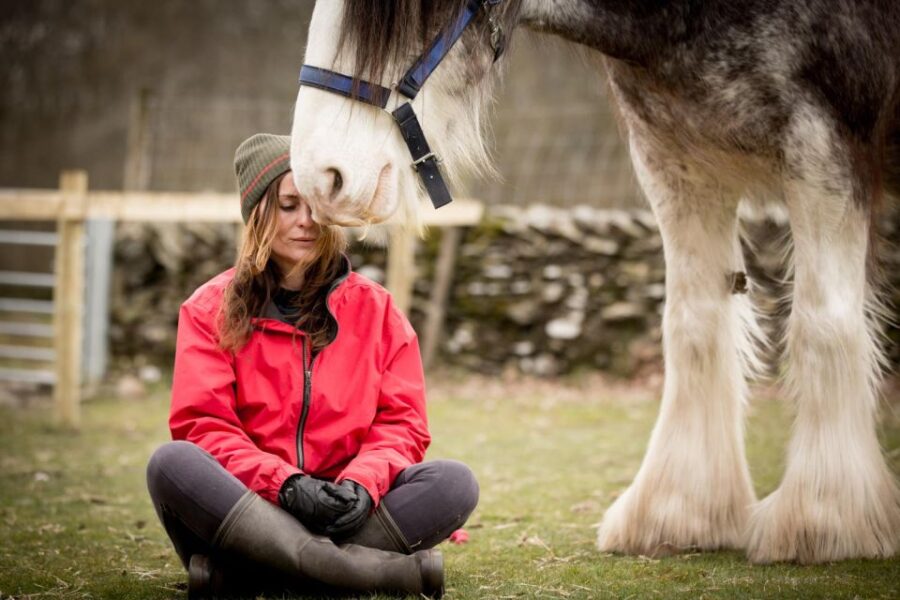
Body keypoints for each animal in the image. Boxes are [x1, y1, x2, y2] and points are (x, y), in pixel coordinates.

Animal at [288, 0, 900, 564]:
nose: (322, 178)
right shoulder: (676, 161)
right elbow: (694, 327)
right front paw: (680, 510)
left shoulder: (823, 150)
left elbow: (821, 324)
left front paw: (822, 518)